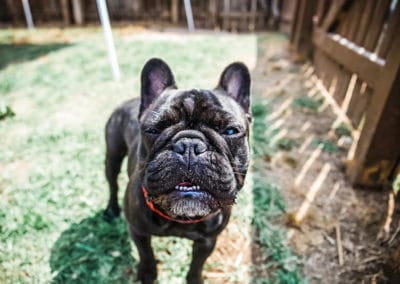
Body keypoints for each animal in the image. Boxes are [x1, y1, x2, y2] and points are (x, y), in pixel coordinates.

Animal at [103, 58, 250, 284]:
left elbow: (197, 265)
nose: (190, 146)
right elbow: (146, 255)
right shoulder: (138, 232)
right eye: (153, 130)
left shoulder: (208, 241)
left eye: (230, 131)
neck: (181, 219)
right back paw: (111, 209)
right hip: (113, 156)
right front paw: (147, 274)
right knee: (112, 183)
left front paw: (195, 279)